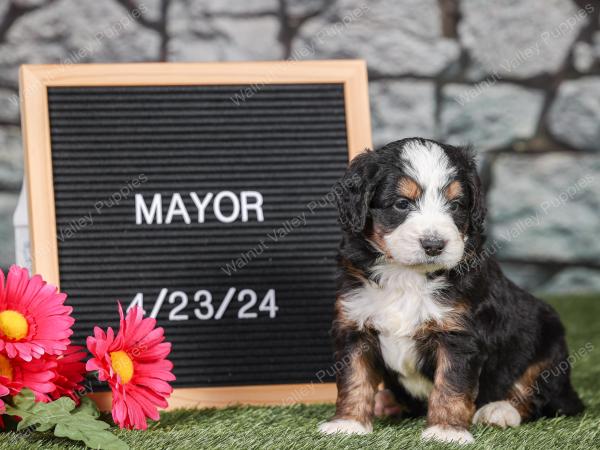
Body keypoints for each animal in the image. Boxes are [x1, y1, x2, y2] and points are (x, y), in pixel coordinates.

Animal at [322, 139, 584, 444]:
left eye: (456, 205)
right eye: (401, 204)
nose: (434, 244)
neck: (406, 275)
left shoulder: (458, 335)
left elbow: (451, 384)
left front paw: (445, 431)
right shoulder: (354, 324)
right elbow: (355, 378)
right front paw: (348, 423)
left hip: (548, 341)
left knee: (538, 392)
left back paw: (498, 411)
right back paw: (386, 402)